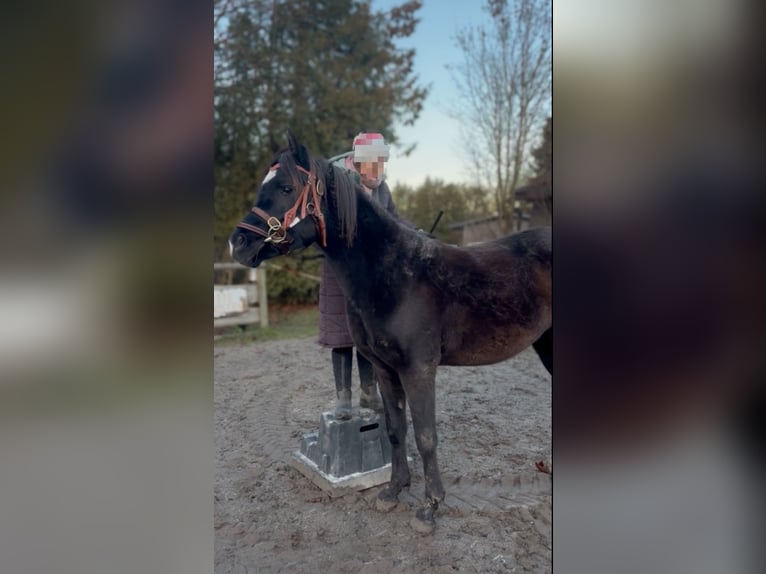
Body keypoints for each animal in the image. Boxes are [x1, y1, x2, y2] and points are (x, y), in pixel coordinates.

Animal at [229, 133, 552, 533]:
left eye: (286, 187)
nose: (238, 243)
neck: (393, 273)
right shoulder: (385, 369)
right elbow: (396, 429)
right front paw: (393, 492)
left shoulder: (419, 370)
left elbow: (426, 437)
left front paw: (430, 508)